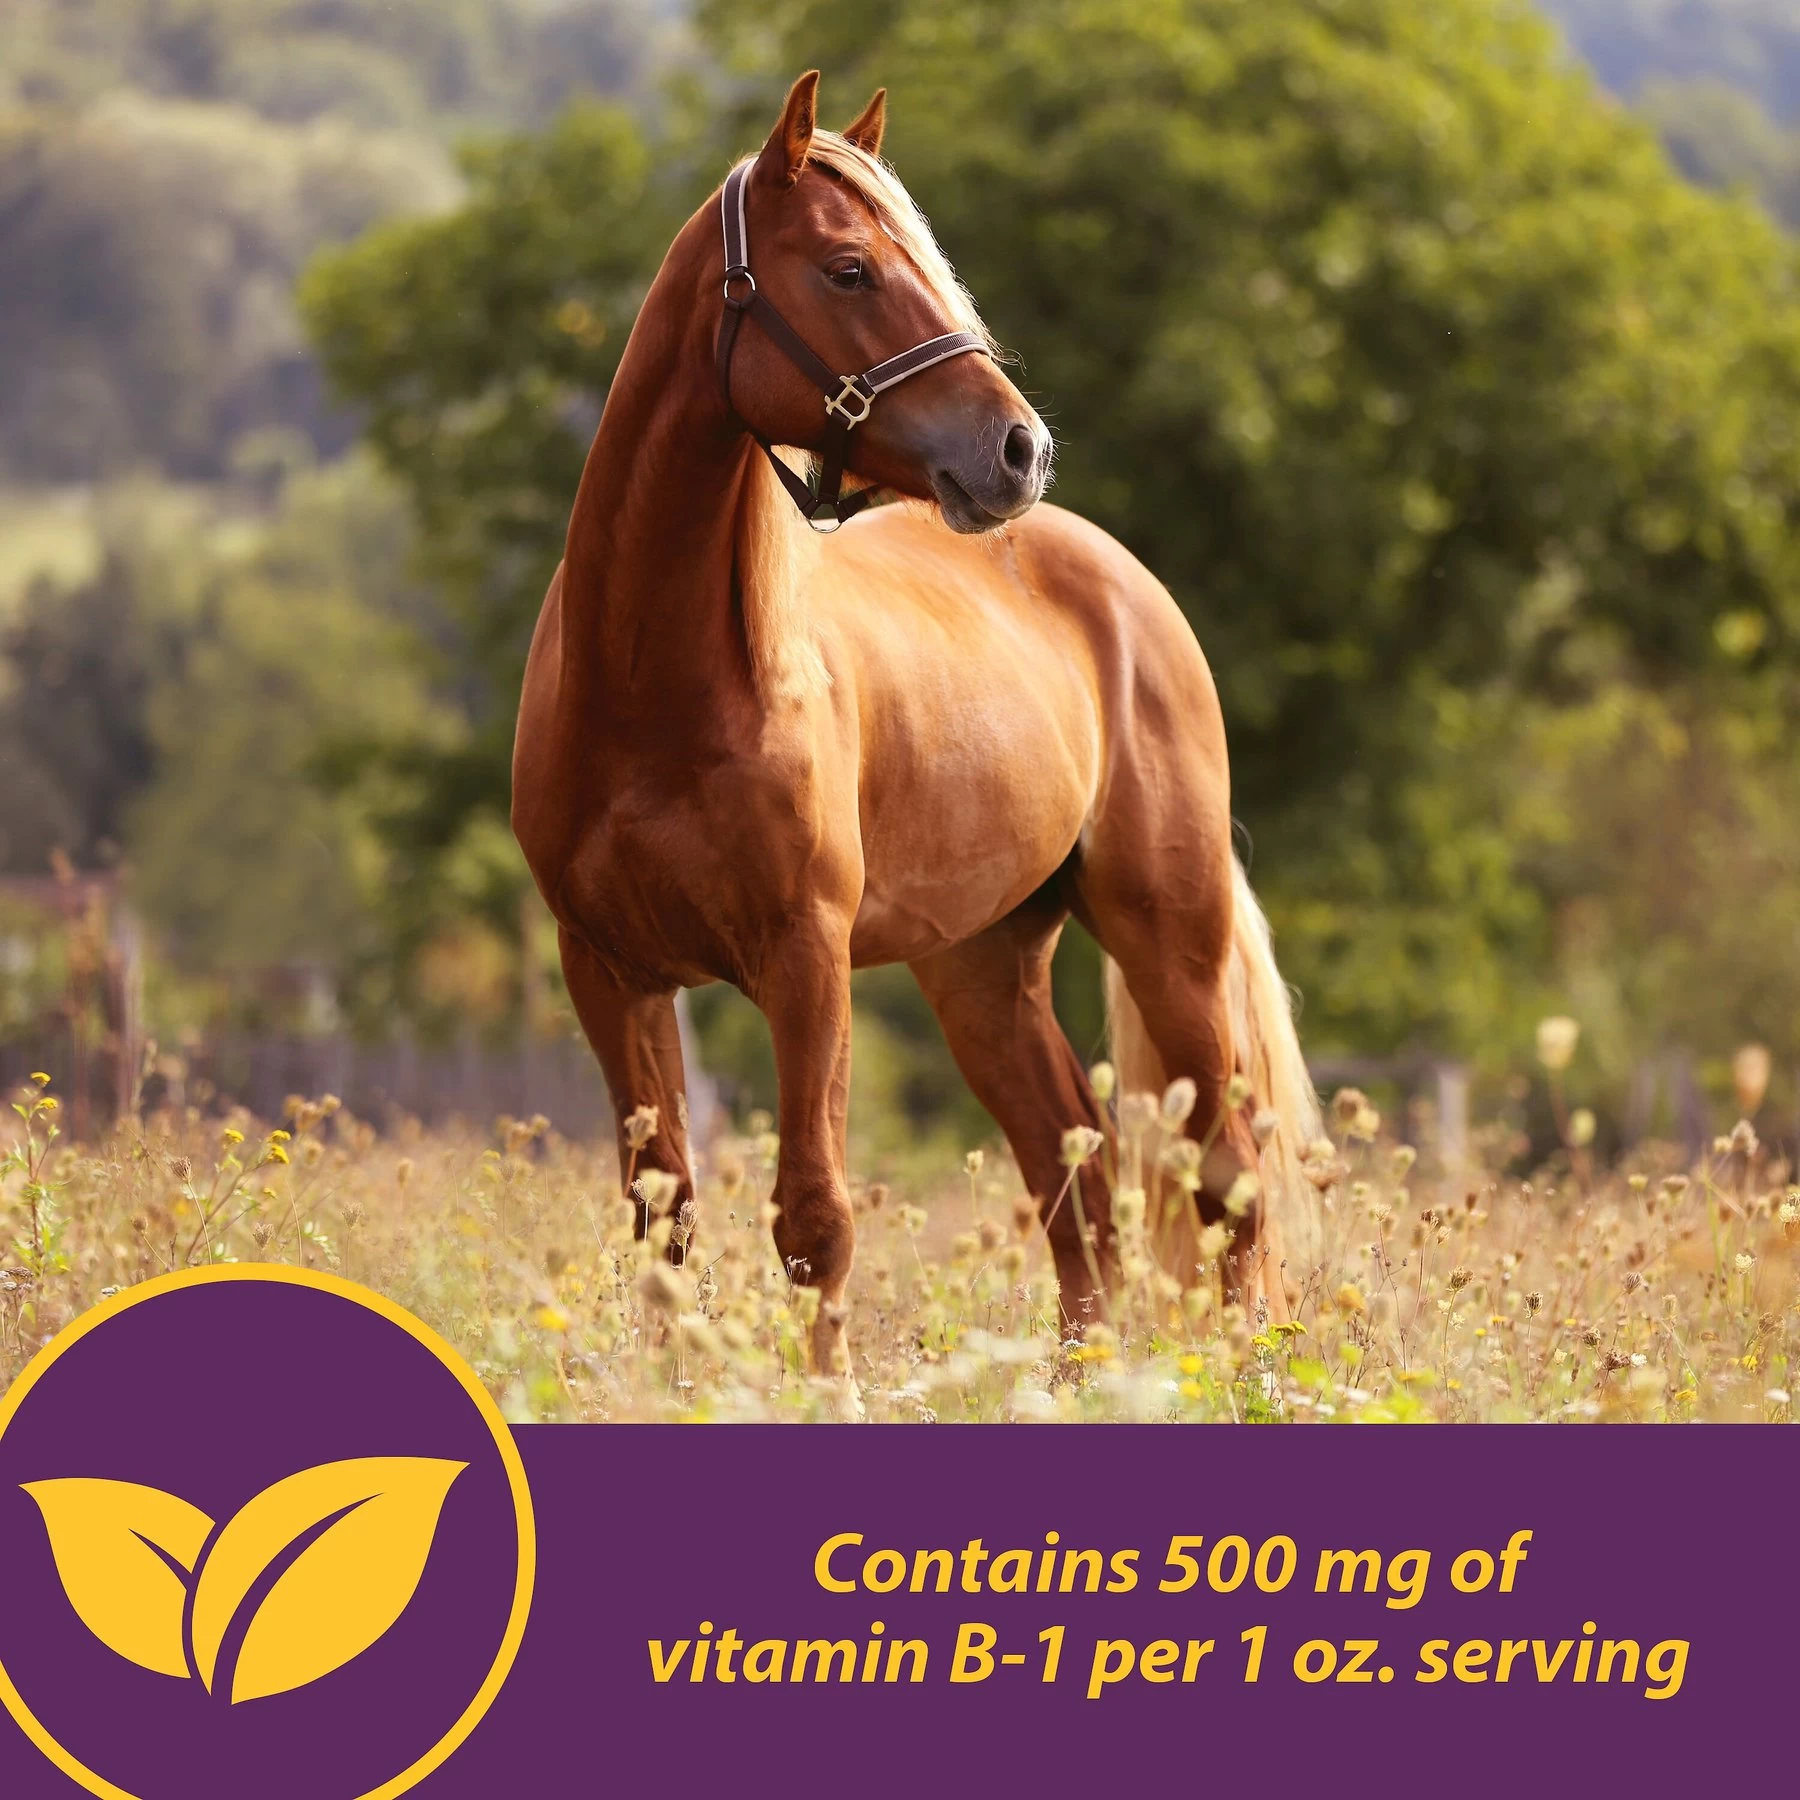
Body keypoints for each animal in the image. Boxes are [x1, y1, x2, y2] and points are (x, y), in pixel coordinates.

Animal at [512, 72, 1324, 1380]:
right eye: (849, 270)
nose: (1019, 449)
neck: (653, 690)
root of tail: (1124, 583)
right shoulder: (610, 972)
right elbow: (664, 1219)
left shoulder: (804, 959)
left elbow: (814, 1217)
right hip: (983, 969)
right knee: (1076, 1183)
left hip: (1172, 940)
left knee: (1226, 1175)